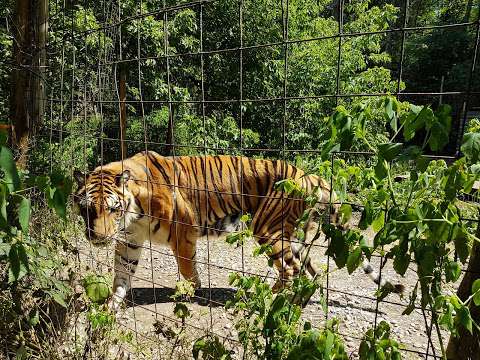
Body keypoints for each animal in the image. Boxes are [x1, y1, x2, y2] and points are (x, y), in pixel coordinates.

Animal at [73, 150, 404, 310]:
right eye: (88, 209)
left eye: (112, 209)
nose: (98, 237)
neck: (132, 214)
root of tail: (311, 176)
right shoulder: (129, 240)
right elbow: (121, 274)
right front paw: (111, 305)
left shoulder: (184, 232)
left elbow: (188, 269)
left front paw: (189, 292)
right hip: (293, 236)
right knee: (310, 272)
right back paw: (295, 299)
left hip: (269, 230)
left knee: (291, 269)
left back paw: (265, 297)